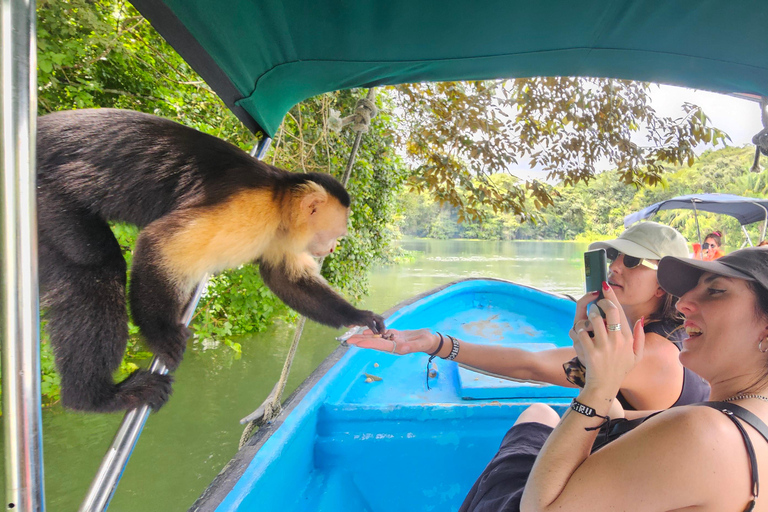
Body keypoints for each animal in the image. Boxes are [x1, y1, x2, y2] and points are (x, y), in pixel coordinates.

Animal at [36, 108, 388, 412]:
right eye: (336, 235)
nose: (332, 249)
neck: (278, 202)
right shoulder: (251, 210)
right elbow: (160, 243)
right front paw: (161, 332)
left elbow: (285, 280)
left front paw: (360, 315)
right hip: (47, 197)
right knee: (96, 266)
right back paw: (95, 397)